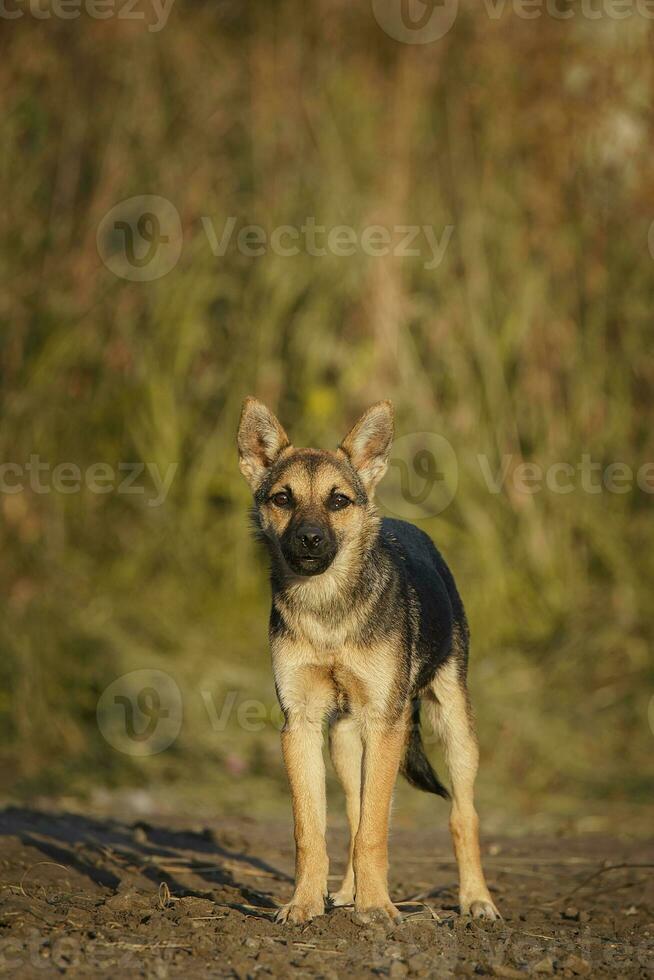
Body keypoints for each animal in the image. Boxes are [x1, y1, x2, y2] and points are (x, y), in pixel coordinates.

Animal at [238, 398, 500, 928]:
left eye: (338, 501)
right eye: (282, 499)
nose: (310, 539)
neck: (328, 611)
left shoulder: (386, 721)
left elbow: (376, 832)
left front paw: (377, 908)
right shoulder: (300, 724)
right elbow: (312, 831)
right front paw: (306, 902)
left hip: (452, 724)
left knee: (462, 814)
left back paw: (476, 899)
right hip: (344, 740)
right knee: (356, 811)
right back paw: (346, 893)